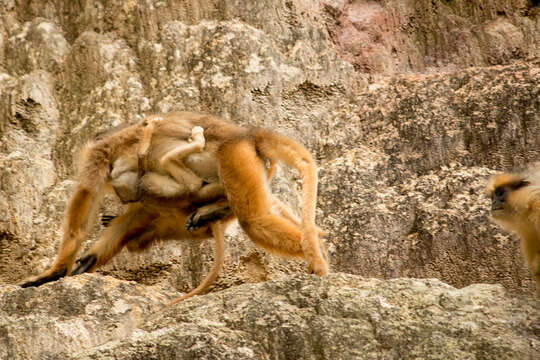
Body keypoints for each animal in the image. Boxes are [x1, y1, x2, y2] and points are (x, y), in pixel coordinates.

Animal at [20, 110, 330, 300]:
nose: (122, 195)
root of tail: (245, 134)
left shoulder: (100, 155)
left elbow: (84, 202)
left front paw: (55, 271)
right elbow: (135, 214)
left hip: (233, 156)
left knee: (253, 219)